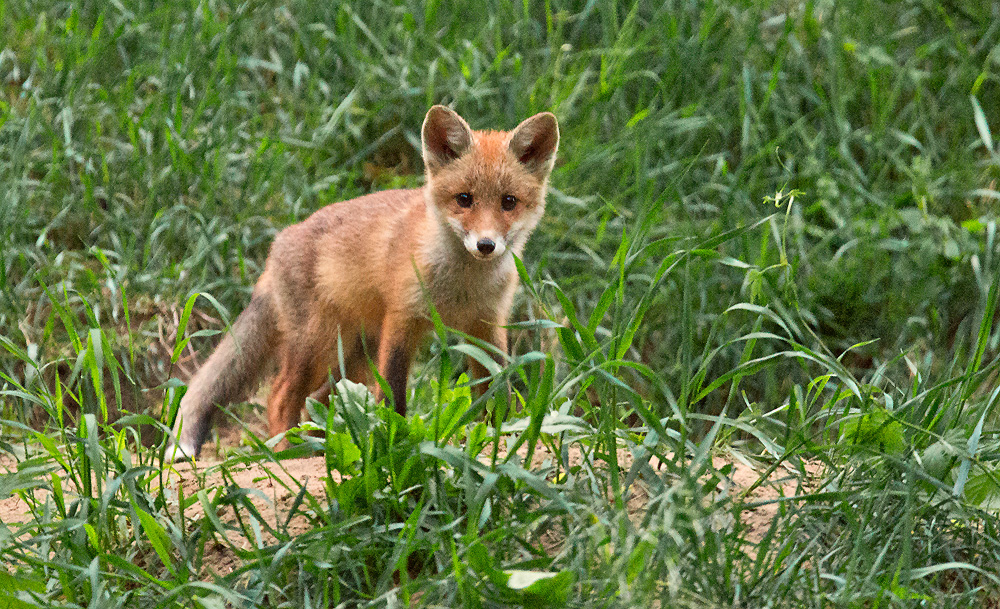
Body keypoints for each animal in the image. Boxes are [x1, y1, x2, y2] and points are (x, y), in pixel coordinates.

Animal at [166, 105, 559, 459]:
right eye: (464, 199)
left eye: (509, 202)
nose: (486, 245)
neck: (462, 287)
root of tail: (278, 245)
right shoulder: (402, 320)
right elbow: (393, 394)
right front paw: (392, 444)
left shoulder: (488, 326)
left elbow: (498, 387)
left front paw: (499, 439)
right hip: (317, 344)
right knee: (279, 397)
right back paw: (288, 454)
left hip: (354, 356)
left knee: (315, 401)